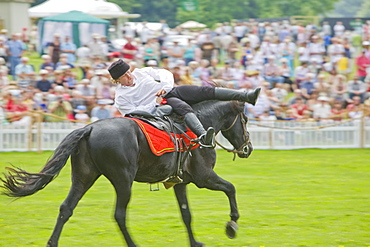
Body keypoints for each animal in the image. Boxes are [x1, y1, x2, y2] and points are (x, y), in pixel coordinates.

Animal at [0, 99, 253, 246]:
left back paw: (52, 242)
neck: (198, 127)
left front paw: (195, 243)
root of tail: (89, 128)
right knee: (119, 215)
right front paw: (232, 225)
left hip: (83, 178)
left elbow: (186, 214)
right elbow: (231, 189)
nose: (248, 148)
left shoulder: (180, 182)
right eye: (246, 119)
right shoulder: (204, 178)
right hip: (123, 181)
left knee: (66, 208)